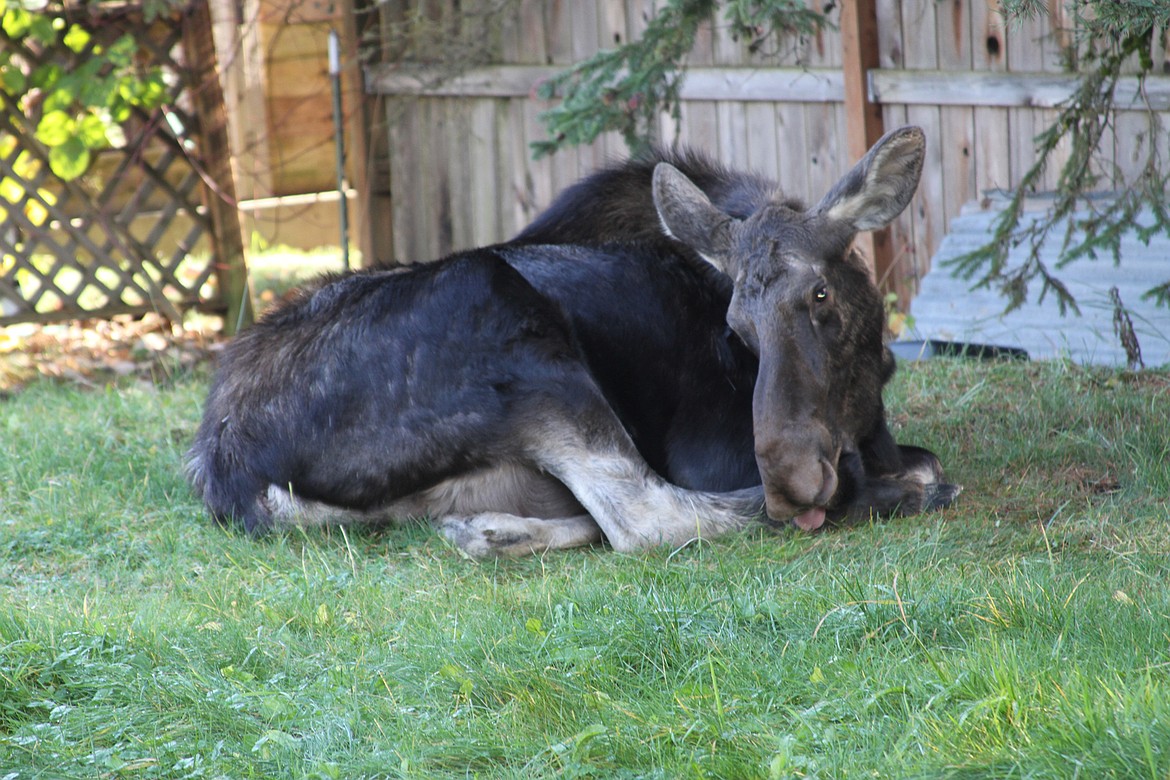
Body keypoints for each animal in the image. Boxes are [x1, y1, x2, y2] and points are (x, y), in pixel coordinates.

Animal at [187, 126, 959, 554]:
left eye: (819, 295)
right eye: (735, 328)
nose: (793, 482)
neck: (864, 402)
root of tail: (226, 467)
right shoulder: (711, 449)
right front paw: (896, 482)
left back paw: (491, 530)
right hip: (517, 335)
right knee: (646, 517)